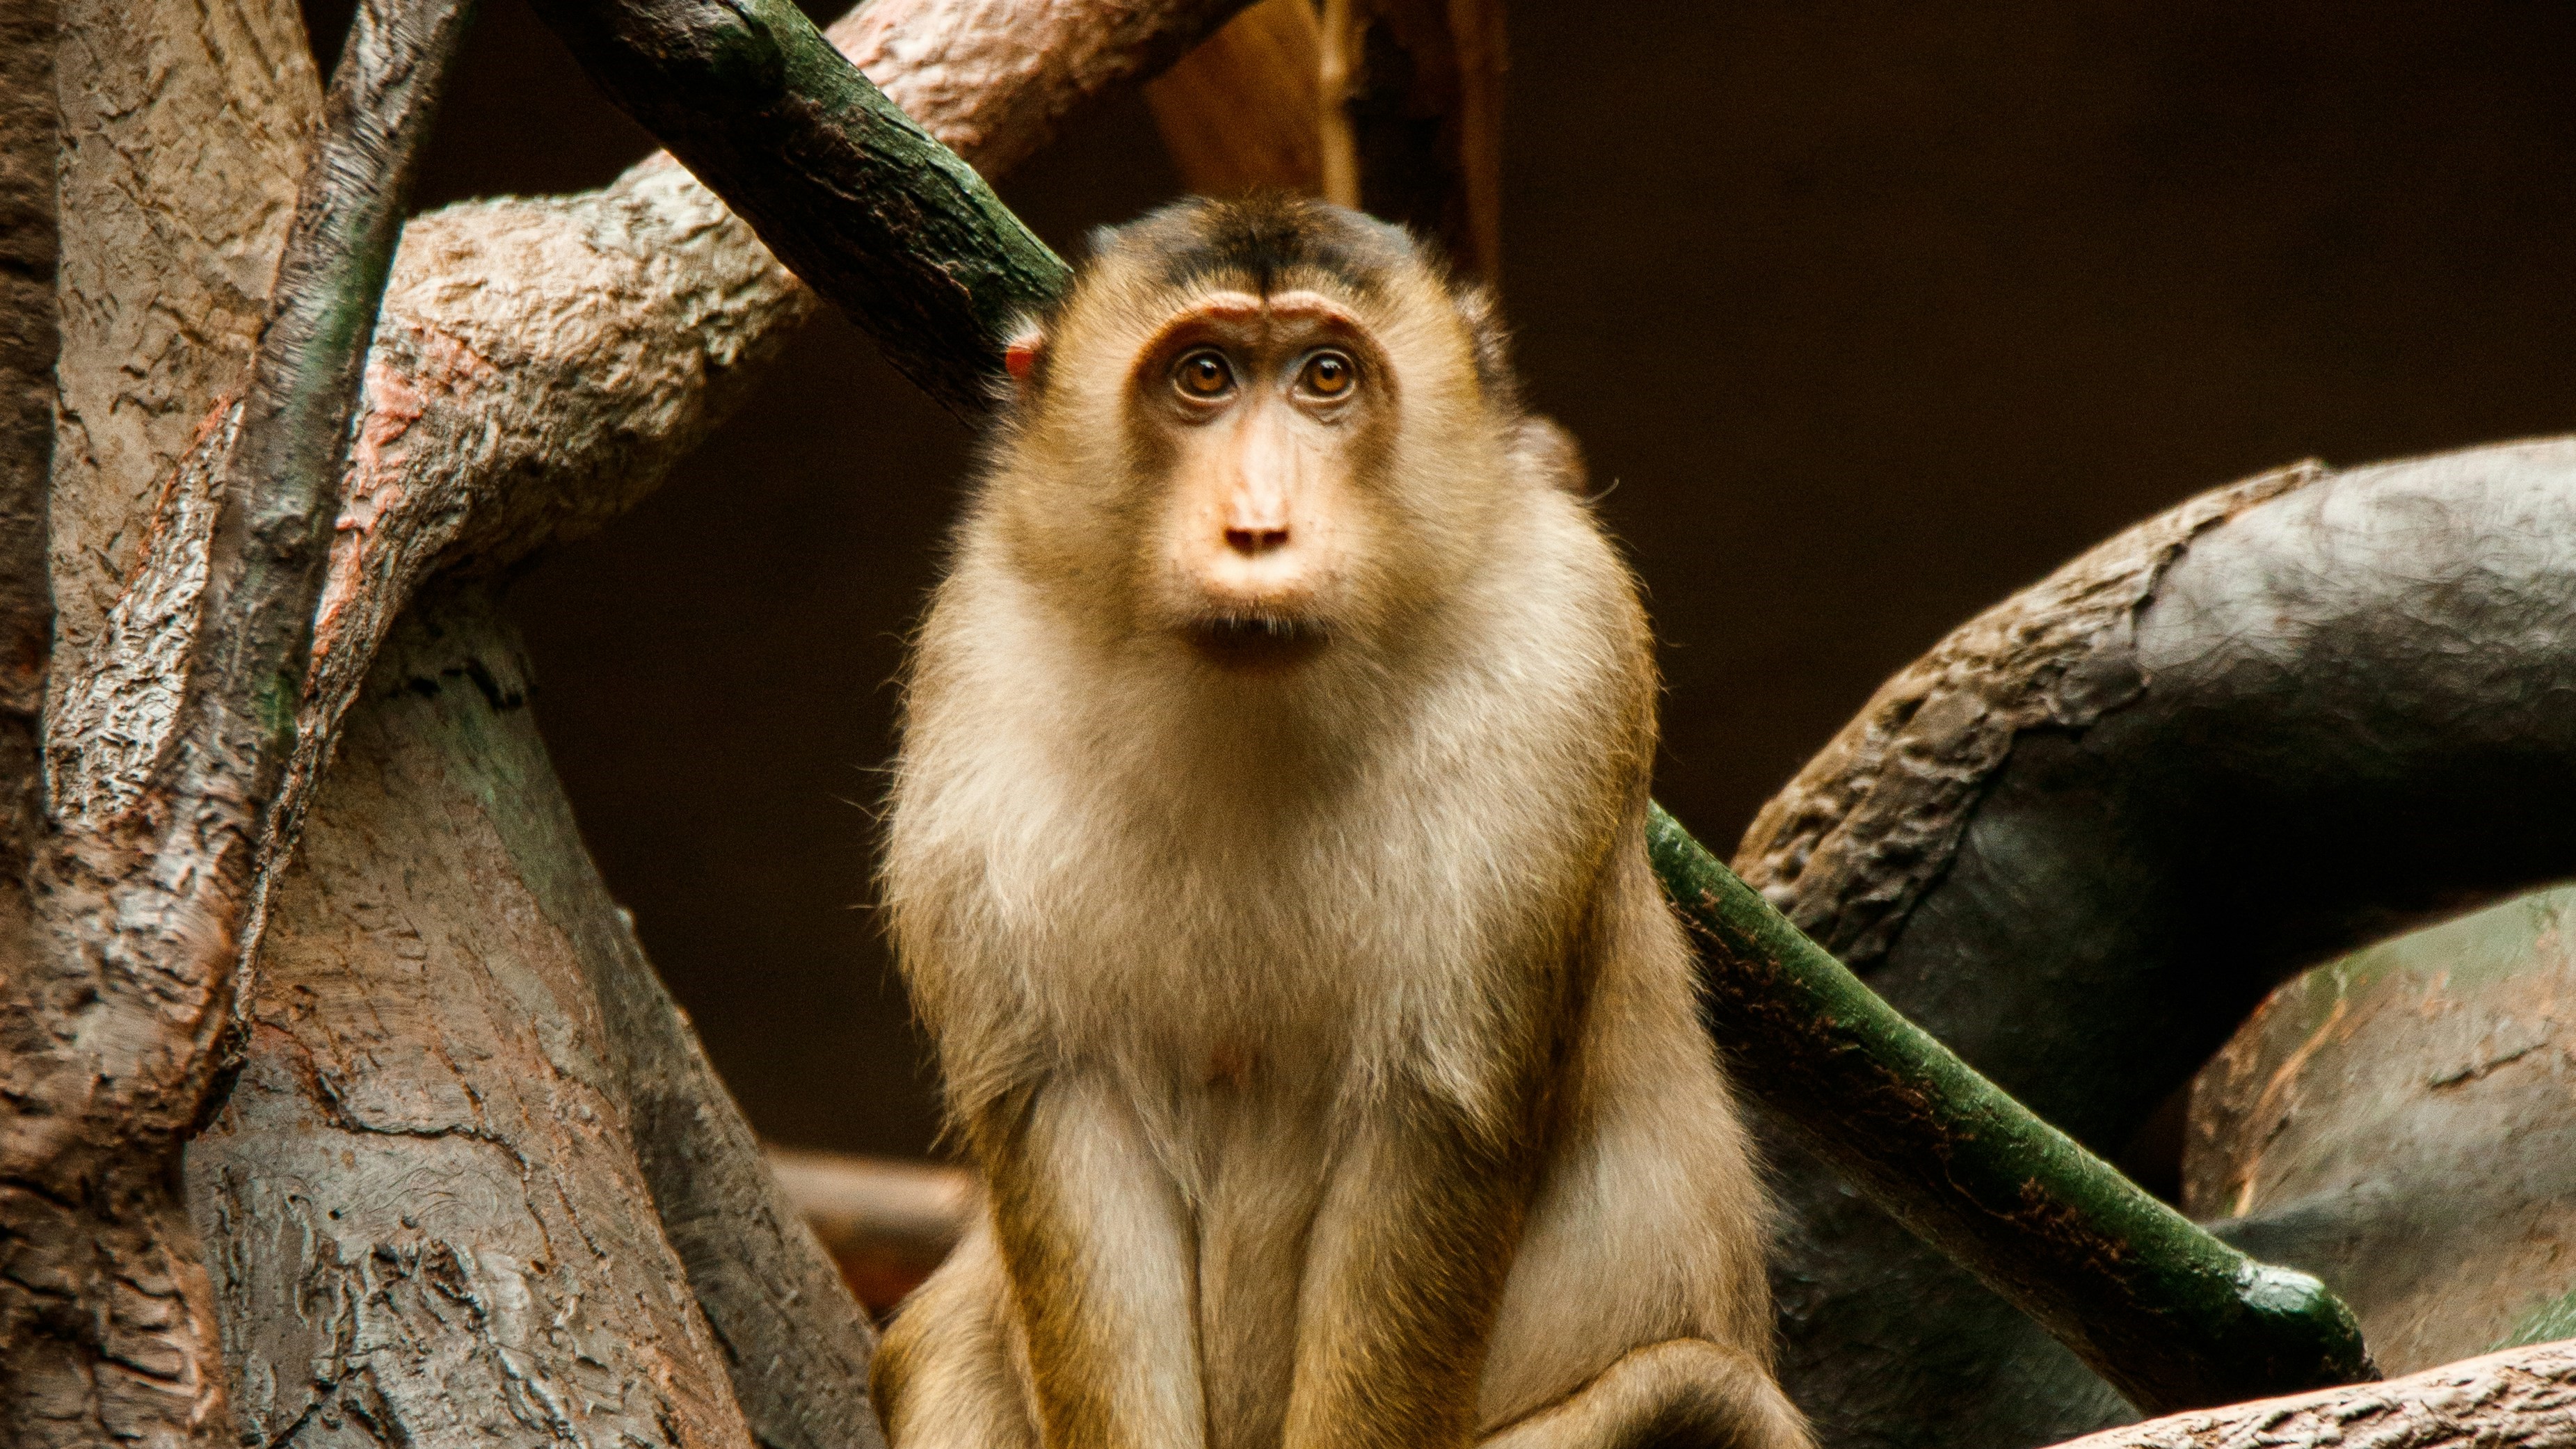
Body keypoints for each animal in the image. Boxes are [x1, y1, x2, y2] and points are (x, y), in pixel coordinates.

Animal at [876, 193, 1803, 1449]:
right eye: (1204, 375)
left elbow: (1434, 1114)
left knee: (1698, 1397)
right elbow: (1062, 1109)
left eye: (1325, 376)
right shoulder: (980, 666)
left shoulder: (1564, 650)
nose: (1257, 527)